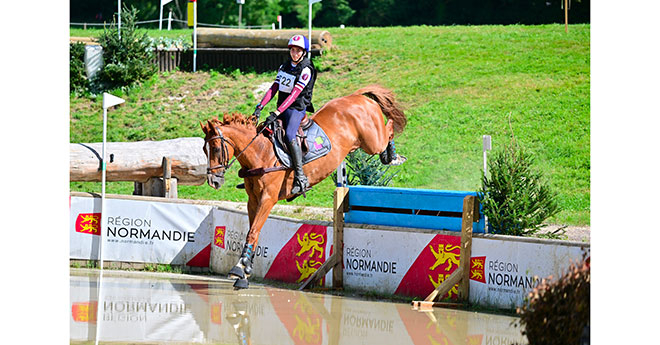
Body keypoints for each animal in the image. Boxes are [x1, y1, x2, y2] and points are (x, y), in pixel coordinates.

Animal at [200, 84, 408, 288]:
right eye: (204, 149)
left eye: (216, 149)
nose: (213, 181)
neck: (260, 152)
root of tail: (356, 97)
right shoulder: (253, 200)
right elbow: (254, 231)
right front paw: (245, 270)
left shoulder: (268, 198)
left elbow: (252, 232)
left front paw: (239, 268)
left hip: (372, 142)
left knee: (389, 127)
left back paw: (393, 156)